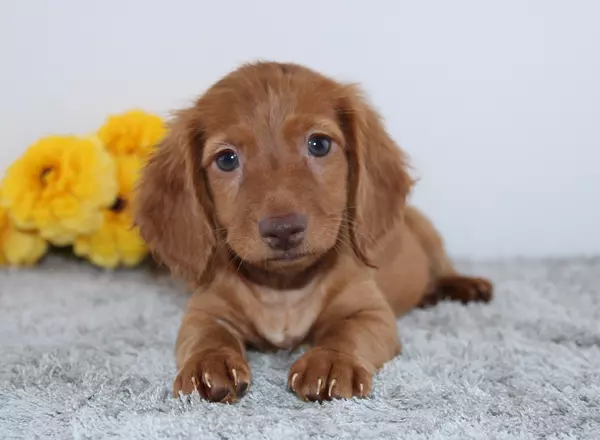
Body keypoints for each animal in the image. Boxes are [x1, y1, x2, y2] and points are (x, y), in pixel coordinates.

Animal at [132, 61, 492, 402]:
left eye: (318, 144)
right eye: (227, 159)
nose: (283, 230)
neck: (284, 289)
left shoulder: (370, 313)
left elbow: (346, 333)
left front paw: (331, 361)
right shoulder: (204, 310)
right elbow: (208, 335)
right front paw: (208, 362)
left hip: (427, 232)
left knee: (443, 266)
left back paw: (464, 285)